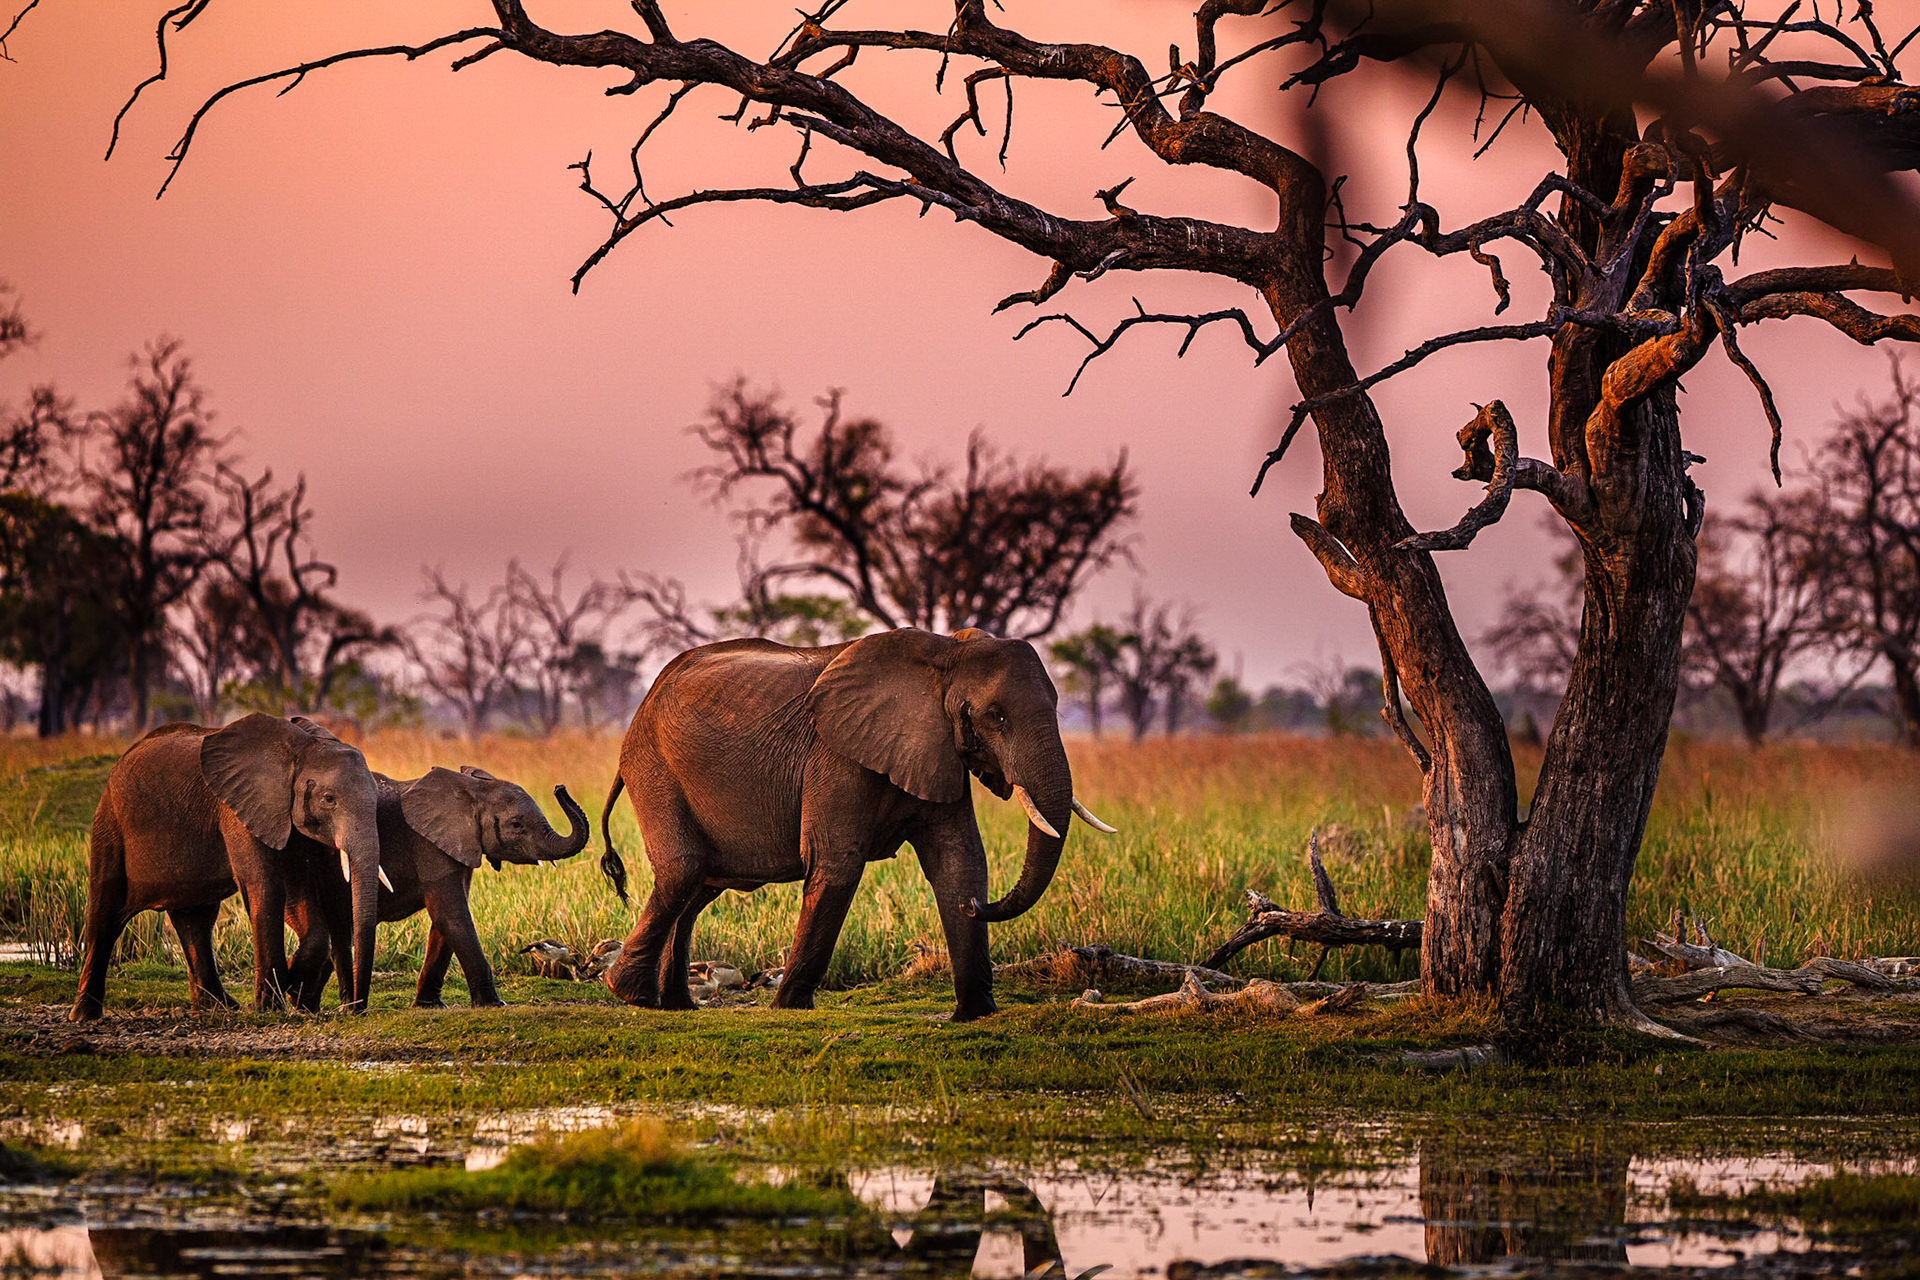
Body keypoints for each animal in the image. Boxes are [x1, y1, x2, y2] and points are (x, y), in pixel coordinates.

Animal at [70, 714, 385, 1022]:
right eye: (329, 799)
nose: (357, 1010)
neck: (298, 749)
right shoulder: (237, 811)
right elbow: (265, 886)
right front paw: (273, 1003)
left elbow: (301, 895)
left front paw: (293, 988)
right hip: (110, 823)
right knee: (105, 916)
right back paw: (85, 1015)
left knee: (195, 922)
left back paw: (218, 1008)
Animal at [285, 766, 590, 1009]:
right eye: (516, 825)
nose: (559, 787)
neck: (472, 790)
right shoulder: (429, 845)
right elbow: (452, 915)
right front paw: (495, 1004)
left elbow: (445, 922)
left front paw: (430, 1006)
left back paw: (305, 1004)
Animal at [597, 627, 1114, 1021]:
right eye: (996, 717)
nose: (976, 908)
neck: (946, 652)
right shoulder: (836, 755)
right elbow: (837, 864)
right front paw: (789, 1009)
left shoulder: (937, 749)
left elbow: (959, 861)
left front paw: (975, 1013)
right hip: (655, 768)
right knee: (684, 872)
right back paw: (631, 993)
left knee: (700, 887)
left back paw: (675, 1006)